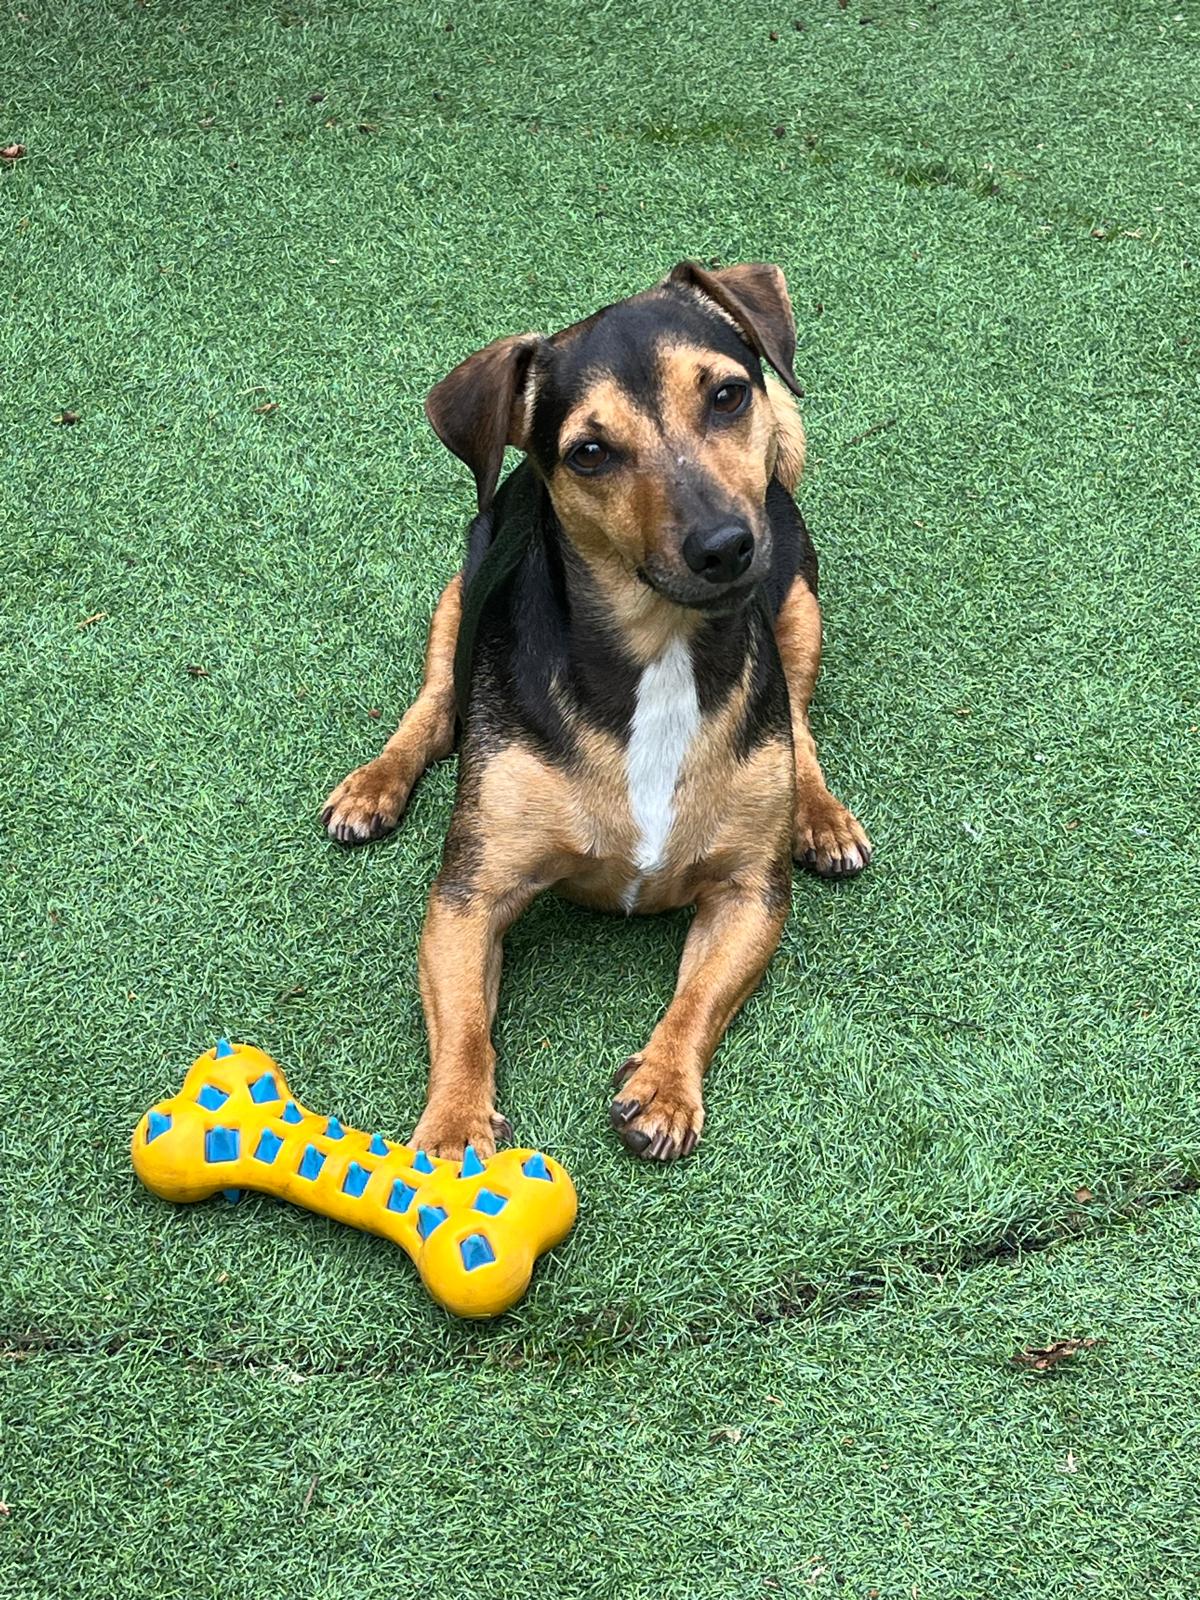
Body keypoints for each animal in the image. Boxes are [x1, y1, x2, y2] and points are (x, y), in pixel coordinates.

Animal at [321, 261, 871, 1163]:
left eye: (727, 396)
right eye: (589, 453)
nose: (724, 547)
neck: (659, 653)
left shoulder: (750, 895)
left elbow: (698, 999)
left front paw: (665, 1085)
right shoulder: (468, 898)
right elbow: (465, 1026)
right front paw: (455, 1126)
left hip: (799, 605)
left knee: (797, 717)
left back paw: (821, 814)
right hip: (457, 595)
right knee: (434, 707)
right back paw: (375, 783)